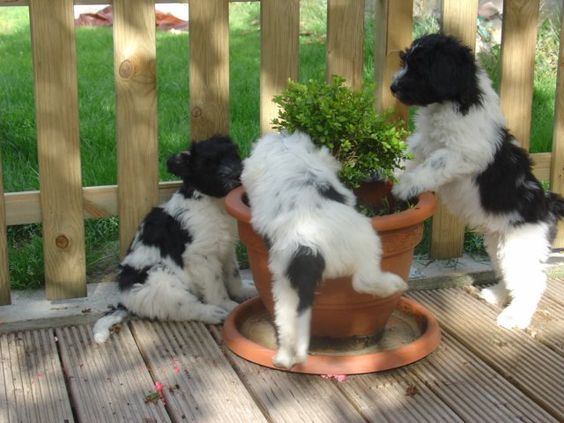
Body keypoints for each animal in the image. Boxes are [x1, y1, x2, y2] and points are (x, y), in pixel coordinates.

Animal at [93, 136, 256, 344]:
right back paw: (213, 313)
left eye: (234, 155)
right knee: (184, 307)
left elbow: (233, 275)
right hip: (160, 280)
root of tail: (124, 301)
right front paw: (227, 304)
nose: (236, 174)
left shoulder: (226, 250)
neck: (213, 203)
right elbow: (216, 285)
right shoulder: (201, 257)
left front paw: (242, 292)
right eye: (208, 165)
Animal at [390, 34, 564, 332]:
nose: (392, 87)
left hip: (521, 245)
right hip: (497, 243)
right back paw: (496, 294)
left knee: (532, 282)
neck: (458, 102)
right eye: (405, 61)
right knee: (509, 274)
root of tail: (549, 206)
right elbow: (406, 157)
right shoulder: (423, 144)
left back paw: (515, 316)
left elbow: (434, 165)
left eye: (420, 69)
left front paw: (406, 186)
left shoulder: (463, 154)